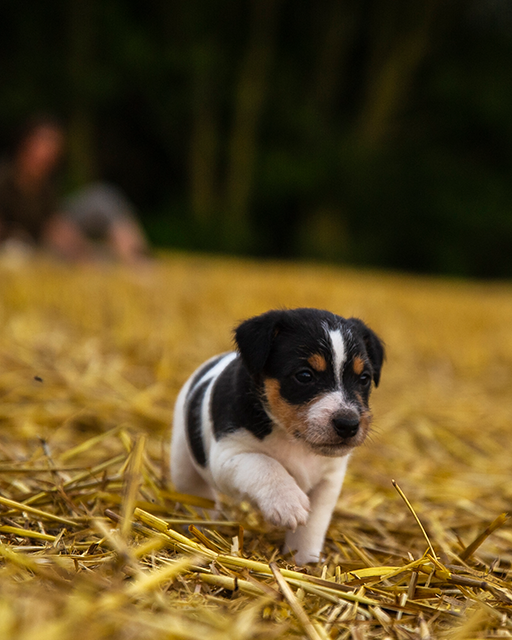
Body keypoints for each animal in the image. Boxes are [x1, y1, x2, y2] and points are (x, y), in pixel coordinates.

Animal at [172, 308, 384, 564]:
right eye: (305, 375)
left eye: (364, 378)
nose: (348, 424)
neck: (294, 441)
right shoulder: (227, 457)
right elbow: (265, 464)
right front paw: (287, 502)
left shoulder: (329, 480)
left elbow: (314, 523)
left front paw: (304, 560)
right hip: (185, 464)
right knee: (196, 492)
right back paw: (198, 524)